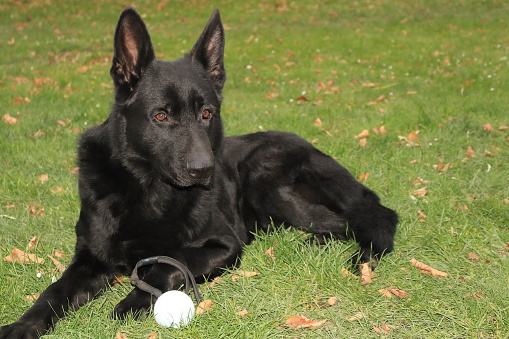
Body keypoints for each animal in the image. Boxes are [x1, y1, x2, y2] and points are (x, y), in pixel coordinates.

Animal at [0, 7, 396, 339]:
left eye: (206, 113)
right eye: (161, 116)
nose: (204, 170)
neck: (149, 190)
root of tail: (312, 146)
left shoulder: (225, 245)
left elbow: (174, 261)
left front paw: (134, 299)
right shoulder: (89, 259)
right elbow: (53, 292)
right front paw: (23, 324)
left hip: (262, 179)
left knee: (356, 220)